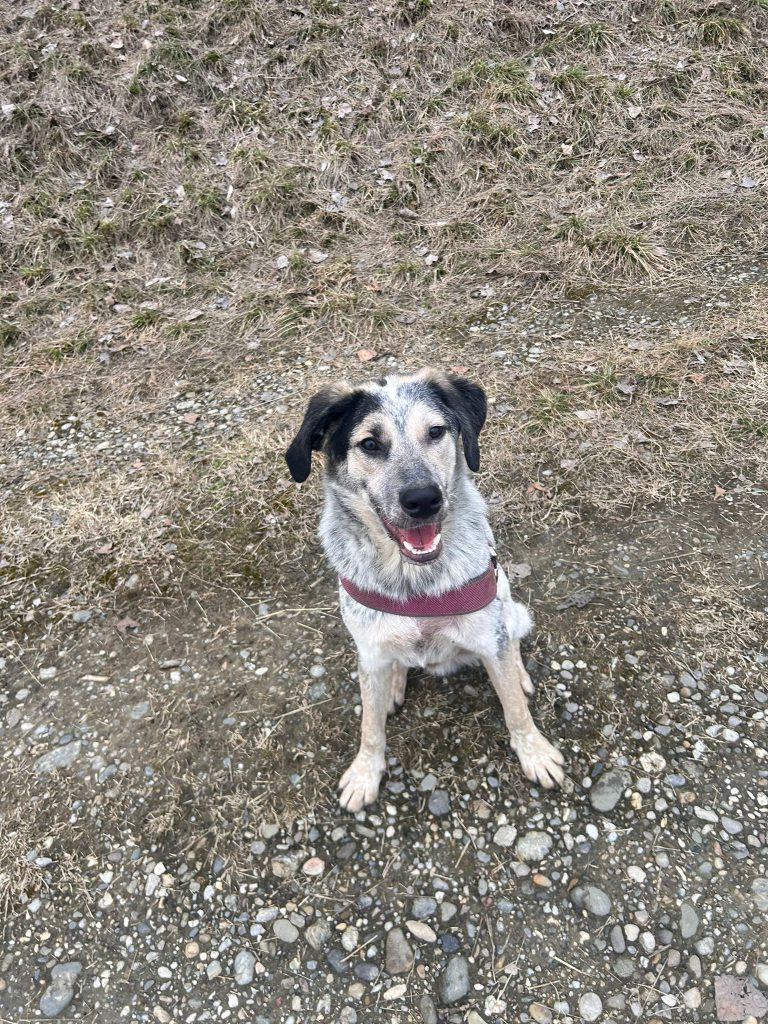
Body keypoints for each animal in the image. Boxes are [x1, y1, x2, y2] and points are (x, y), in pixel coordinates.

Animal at [285, 368, 564, 812]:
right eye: (370, 443)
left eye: (435, 432)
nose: (423, 499)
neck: (413, 580)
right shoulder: (369, 649)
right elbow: (369, 727)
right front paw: (365, 773)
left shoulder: (488, 633)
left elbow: (515, 710)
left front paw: (535, 753)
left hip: (508, 602)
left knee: (513, 641)